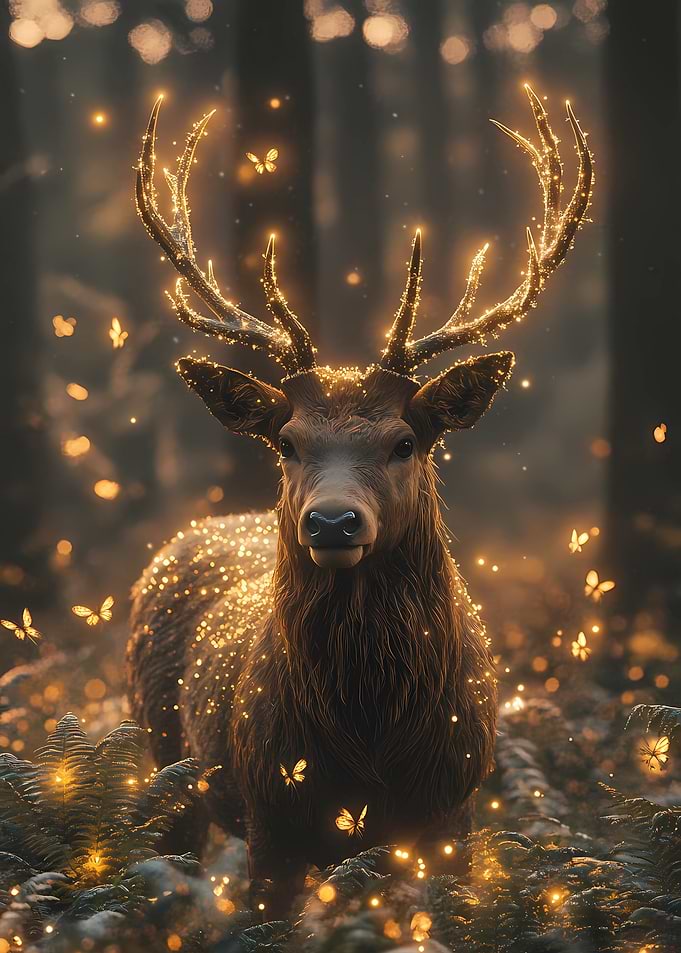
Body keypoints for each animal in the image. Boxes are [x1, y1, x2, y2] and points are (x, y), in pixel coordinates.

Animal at [127, 86, 593, 916]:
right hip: (163, 758)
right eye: (286, 441)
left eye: (405, 440)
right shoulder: (270, 818)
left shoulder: (452, 815)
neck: (367, 743)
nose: (333, 520)